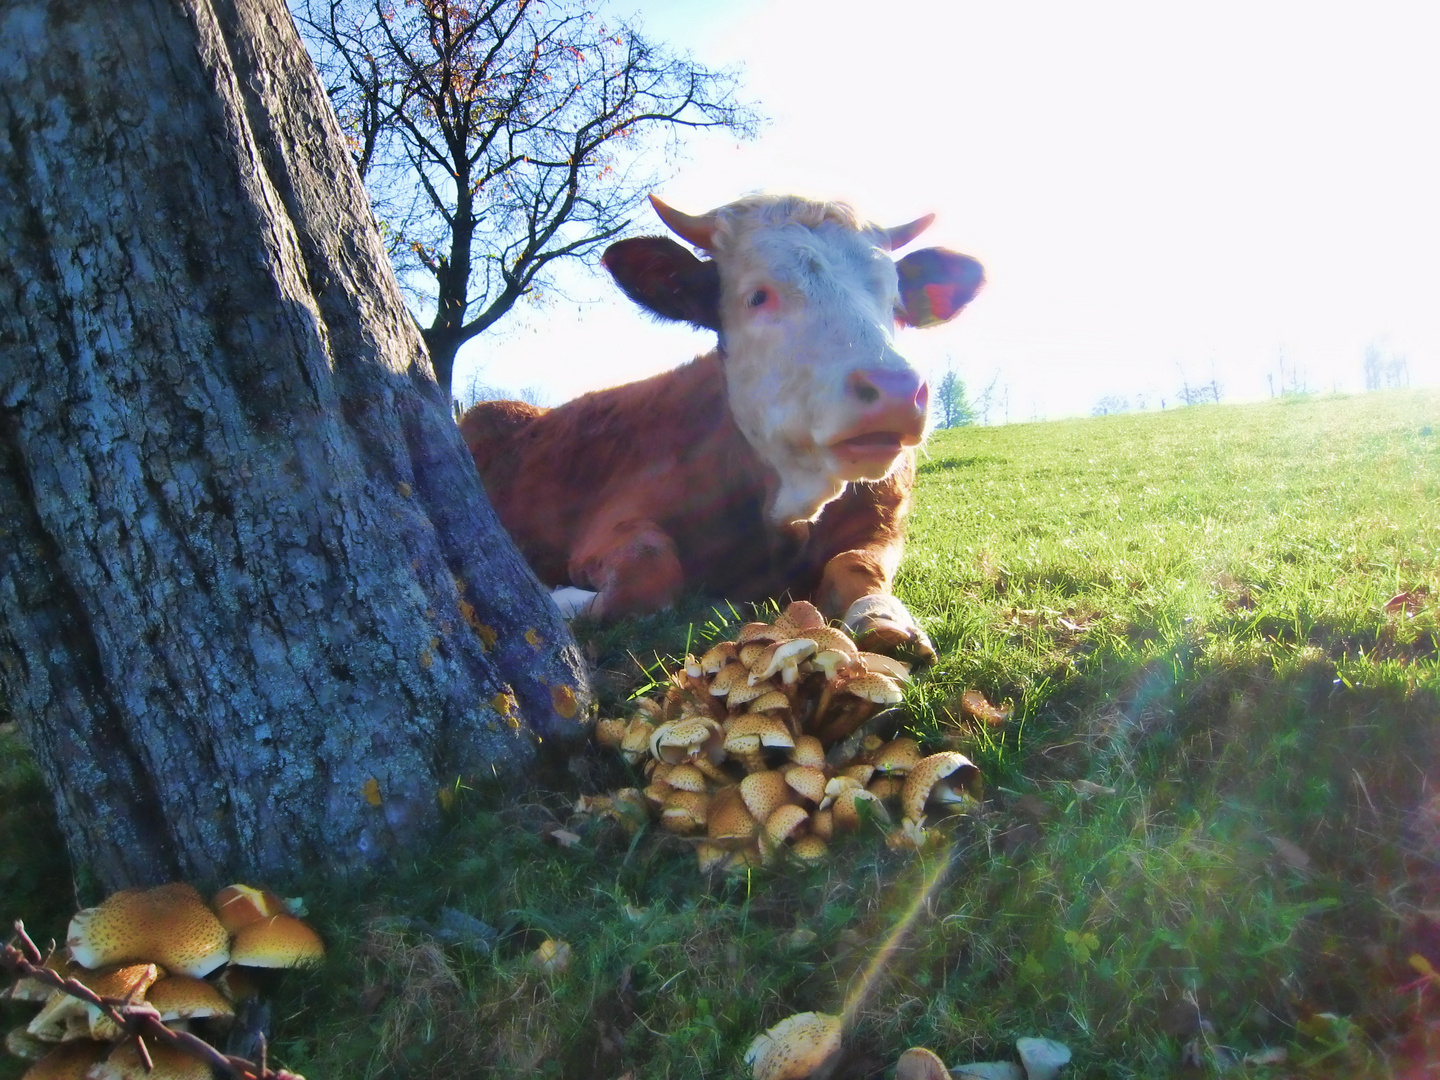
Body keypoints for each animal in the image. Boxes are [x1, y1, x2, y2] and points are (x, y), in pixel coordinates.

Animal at [455, 192, 984, 659]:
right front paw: (563, 597)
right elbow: (648, 572)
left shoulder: (884, 518)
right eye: (757, 296)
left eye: (896, 303)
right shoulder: (609, 523)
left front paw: (885, 618)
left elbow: (856, 566)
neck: (786, 504)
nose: (896, 391)